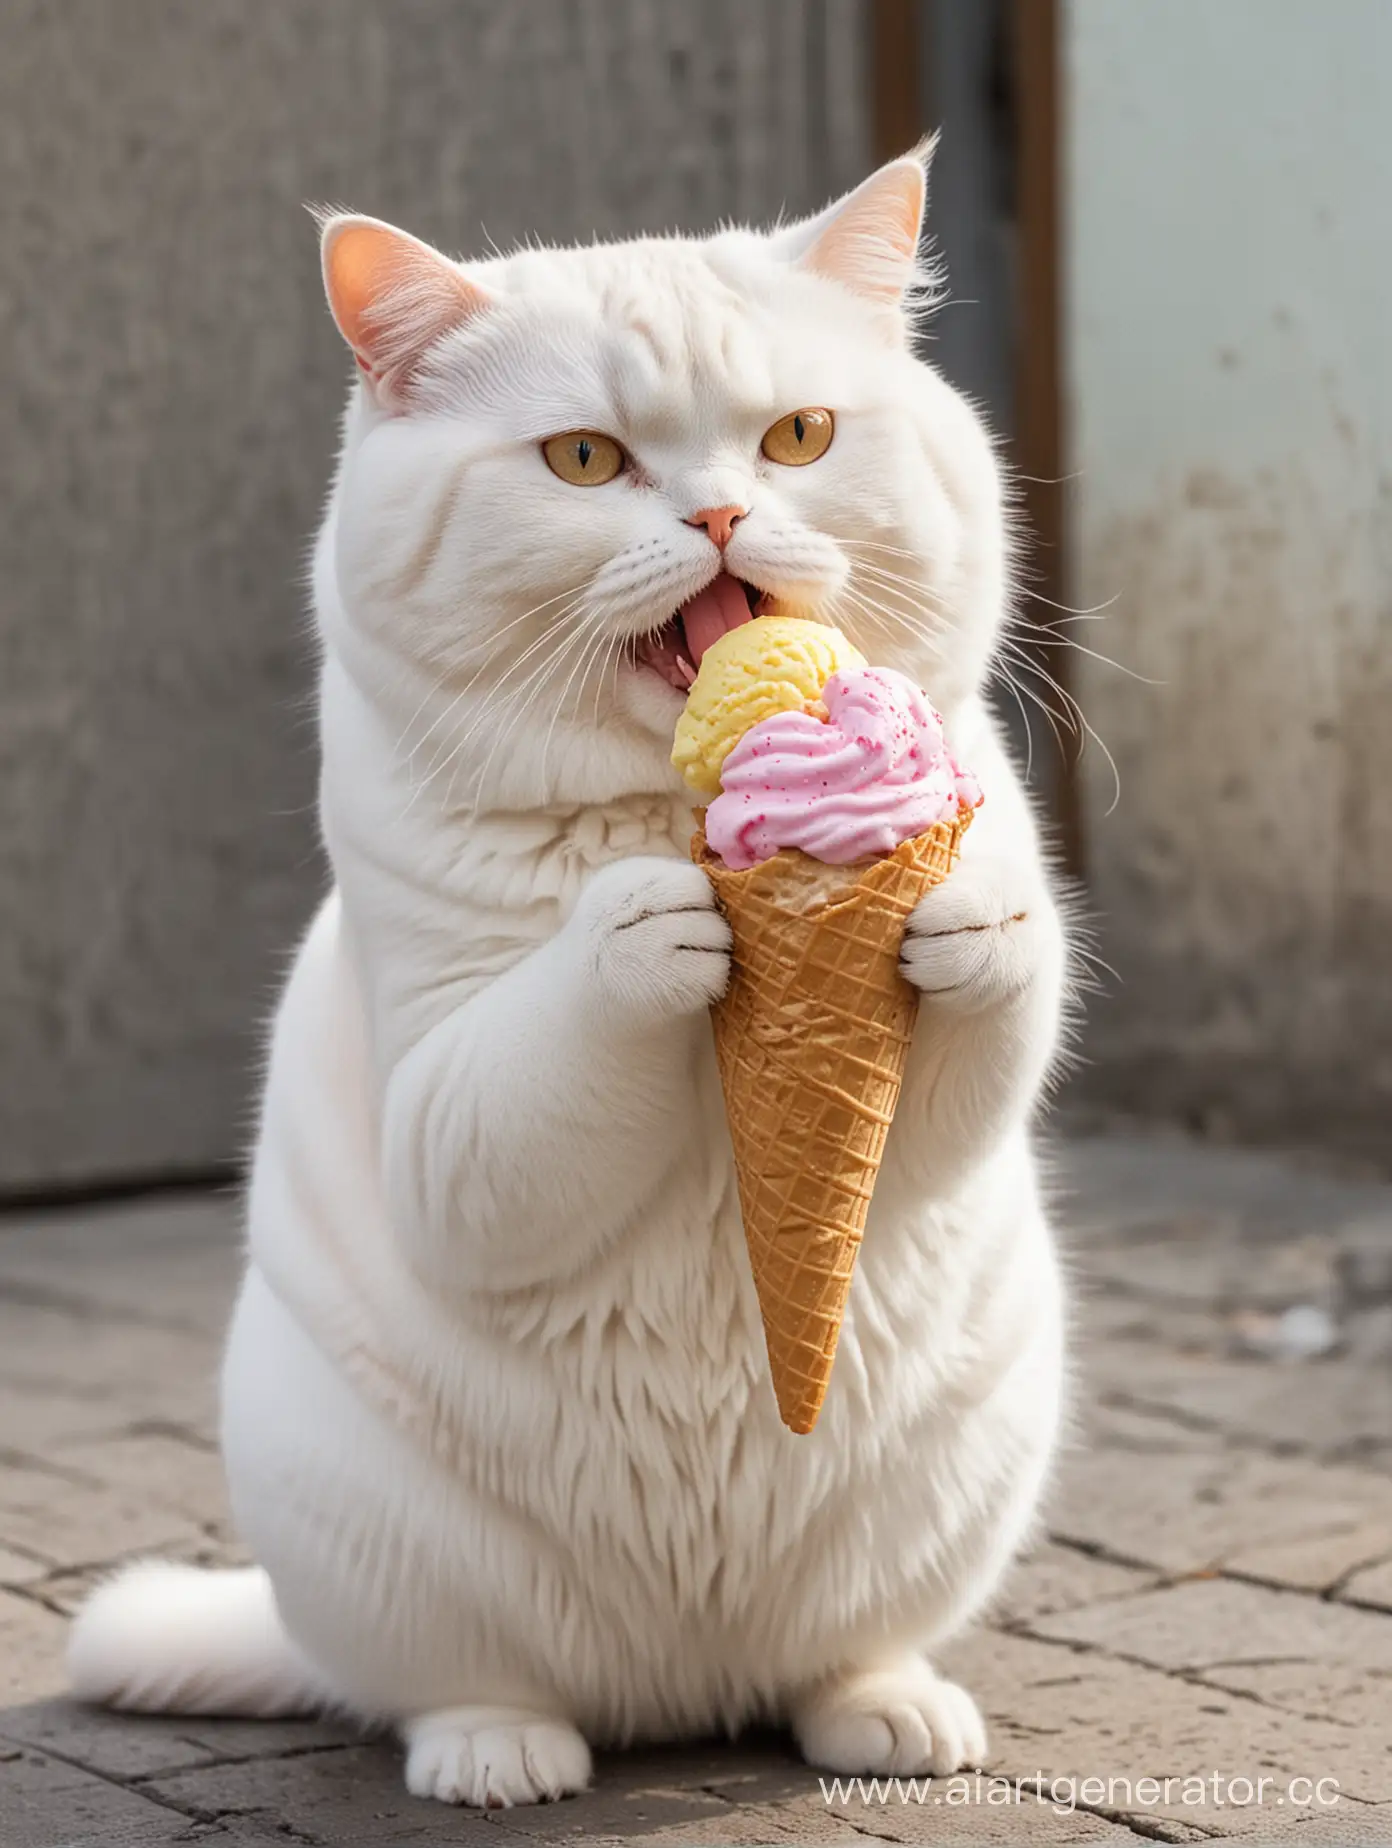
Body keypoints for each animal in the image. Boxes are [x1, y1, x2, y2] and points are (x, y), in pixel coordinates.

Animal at [70, 151, 1072, 1811]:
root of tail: (677, 1697)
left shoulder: (934, 1142)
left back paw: (885, 1714)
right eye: (587, 459)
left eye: (798, 437)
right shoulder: (443, 1122)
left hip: (947, 1494)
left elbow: (983, 1031)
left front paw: (972, 922)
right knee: (458, 1686)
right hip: (375, 1538)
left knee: (831, 1662)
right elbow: (548, 1049)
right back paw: (501, 1754)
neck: (678, 808)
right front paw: (638, 923)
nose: (724, 510)